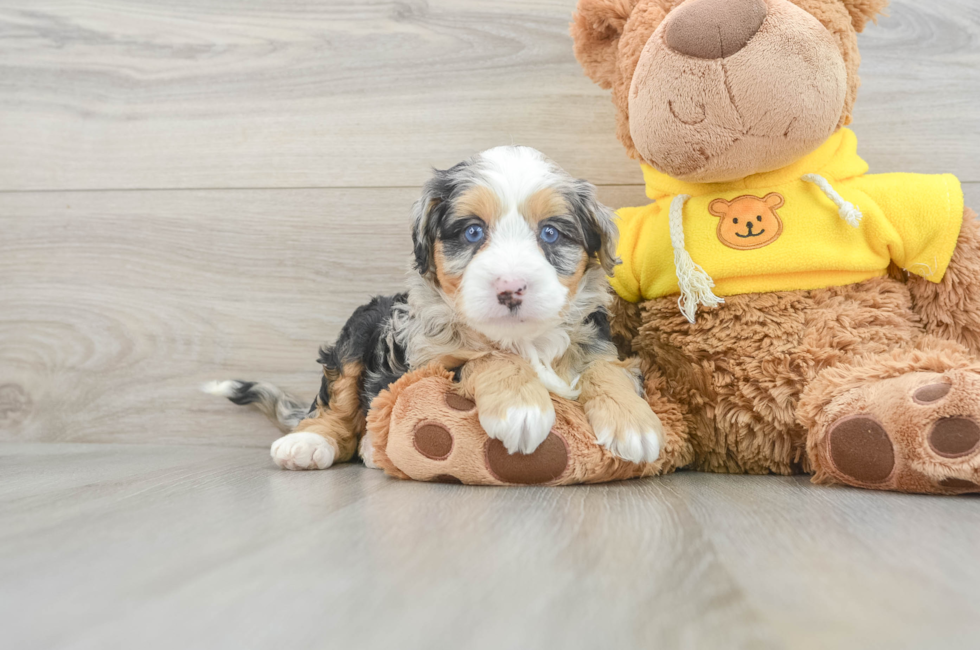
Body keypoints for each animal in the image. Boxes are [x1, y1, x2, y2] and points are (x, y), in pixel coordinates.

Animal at [209, 146, 668, 468]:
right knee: (336, 400)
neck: (521, 340)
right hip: (360, 326)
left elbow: (606, 367)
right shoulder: (427, 364)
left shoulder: (599, 341)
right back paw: (310, 443)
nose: (511, 288)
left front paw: (634, 423)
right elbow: (484, 358)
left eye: (551, 233)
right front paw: (522, 407)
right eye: (472, 232)